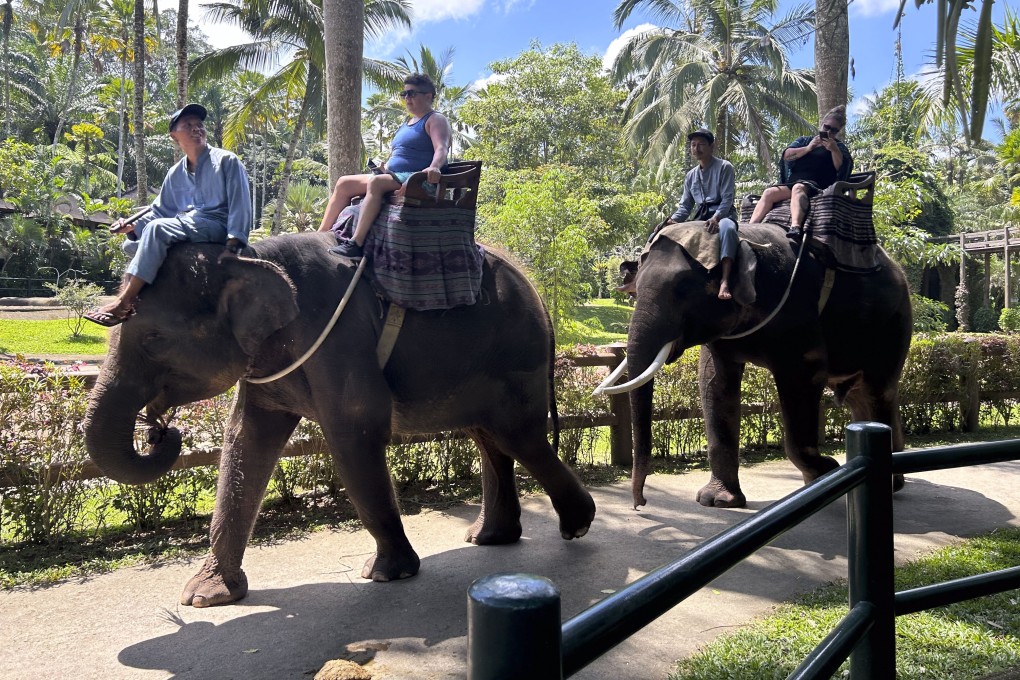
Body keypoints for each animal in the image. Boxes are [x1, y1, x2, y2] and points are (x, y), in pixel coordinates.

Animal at [83, 232, 595, 607]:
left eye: (153, 339)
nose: (161, 432)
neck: (250, 256)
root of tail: (537, 290)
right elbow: (244, 441)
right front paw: (205, 597)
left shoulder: (339, 339)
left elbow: (353, 432)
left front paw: (386, 575)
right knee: (489, 436)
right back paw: (490, 538)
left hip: (516, 354)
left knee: (517, 435)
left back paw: (577, 525)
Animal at [600, 223, 911, 509]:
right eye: (634, 291)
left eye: (683, 289)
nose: (640, 503)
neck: (745, 240)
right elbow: (713, 381)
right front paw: (718, 501)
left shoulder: (799, 318)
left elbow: (803, 378)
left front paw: (827, 472)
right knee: (862, 396)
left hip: (894, 323)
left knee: (877, 390)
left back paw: (888, 480)